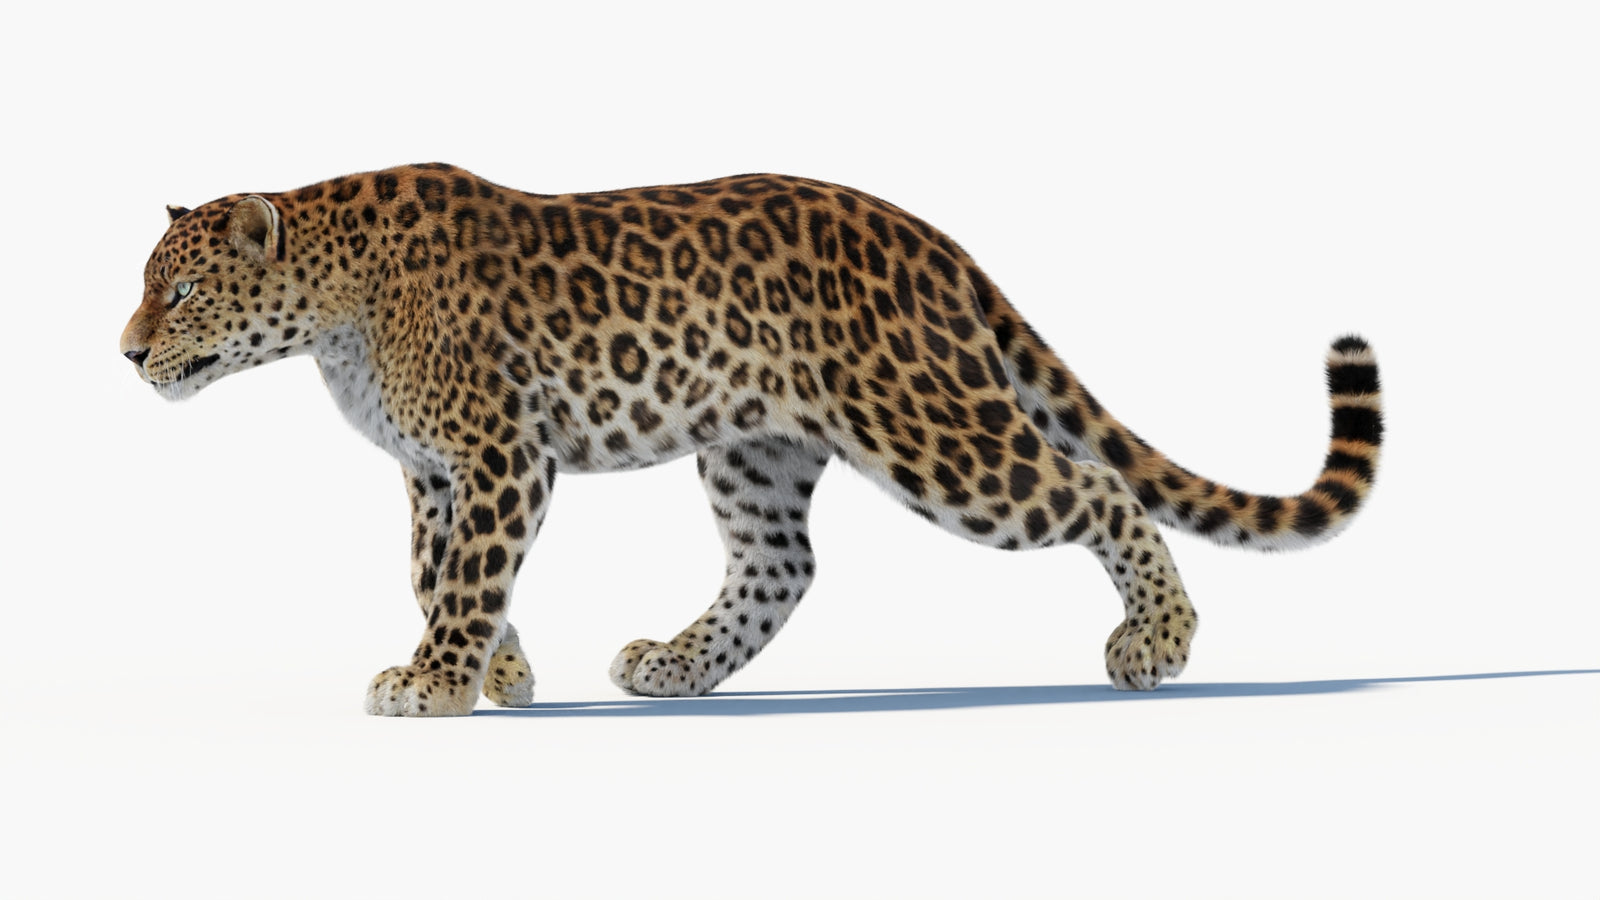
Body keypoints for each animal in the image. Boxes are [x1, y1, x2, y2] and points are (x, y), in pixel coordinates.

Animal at [120, 163, 1384, 716]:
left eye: (178, 294)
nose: (125, 353)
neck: (331, 311)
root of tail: (928, 236)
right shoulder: (432, 473)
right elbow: (440, 577)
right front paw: (499, 676)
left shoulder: (495, 456)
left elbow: (468, 579)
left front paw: (436, 684)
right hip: (756, 451)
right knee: (783, 566)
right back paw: (674, 666)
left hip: (932, 433)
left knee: (1092, 489)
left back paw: (1153, 645)